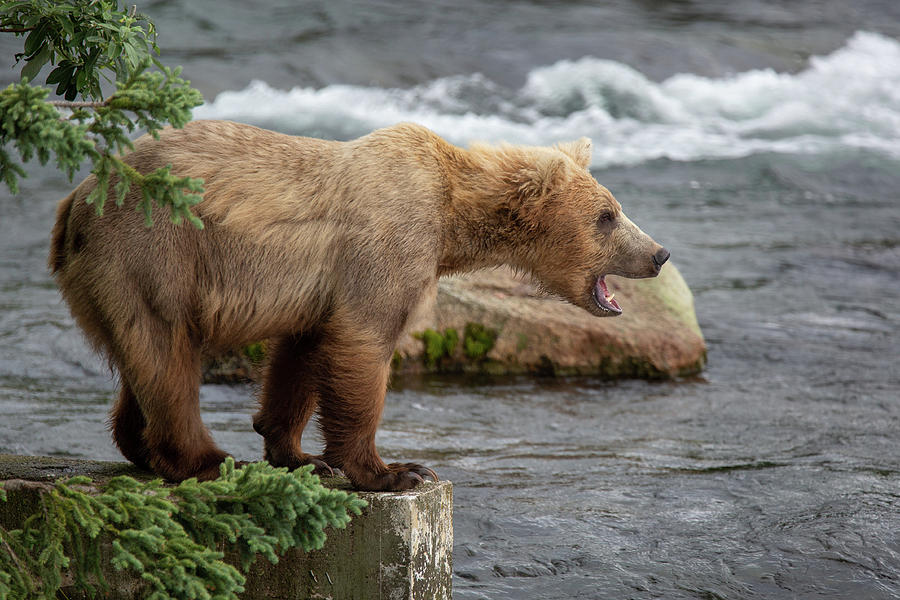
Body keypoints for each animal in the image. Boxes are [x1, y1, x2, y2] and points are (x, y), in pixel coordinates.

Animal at [49, 119, 668, 490]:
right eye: (607, 216)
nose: (659, 253)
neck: (453, 219)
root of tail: (76, 197)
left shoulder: (319, 289)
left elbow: (301, 353)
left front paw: (298, 452)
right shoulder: (388, 244)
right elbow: (363, 344)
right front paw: (395, 469)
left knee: (143, 360)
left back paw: (140, 444)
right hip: (156, 250)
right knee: (167, 350)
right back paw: (207, 459)